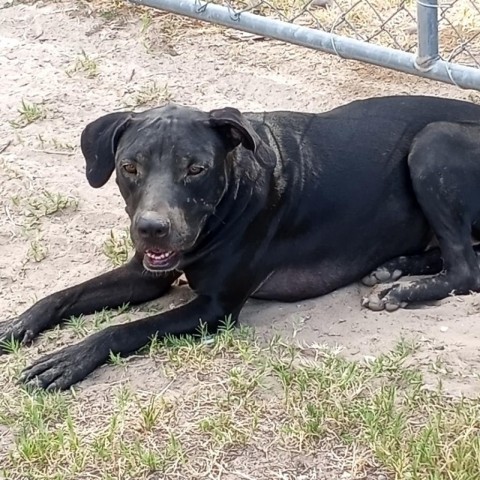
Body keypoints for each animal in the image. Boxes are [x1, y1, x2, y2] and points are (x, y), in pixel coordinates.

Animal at [2, 94, 480, 390]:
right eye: (129, 167)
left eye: (195, 168)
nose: (152, 227)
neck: (230, 197)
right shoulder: (146, 273)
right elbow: (63, 295)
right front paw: (17, 323)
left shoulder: (214, 309)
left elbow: (123, 328)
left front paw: (68, 359)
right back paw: (395, 267)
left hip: (433, 143)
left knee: (464, 269)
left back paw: (400, 289)